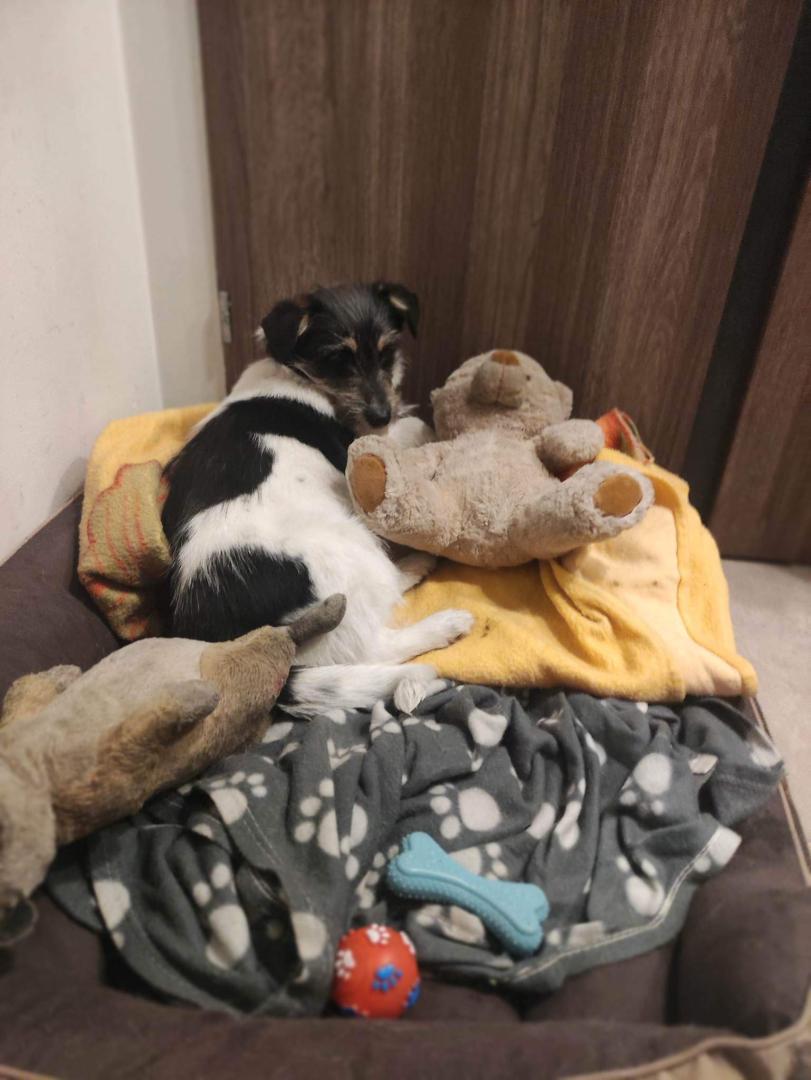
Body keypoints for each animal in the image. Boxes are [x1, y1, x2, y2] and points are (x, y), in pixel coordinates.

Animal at [162, 282, 473, 714]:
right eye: (337, 359)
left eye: (386, 352)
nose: (381, 414)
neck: (296, 376)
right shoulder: (360, 445)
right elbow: (413, 428)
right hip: (349, 551)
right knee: (377, 641)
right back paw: (443, 617)